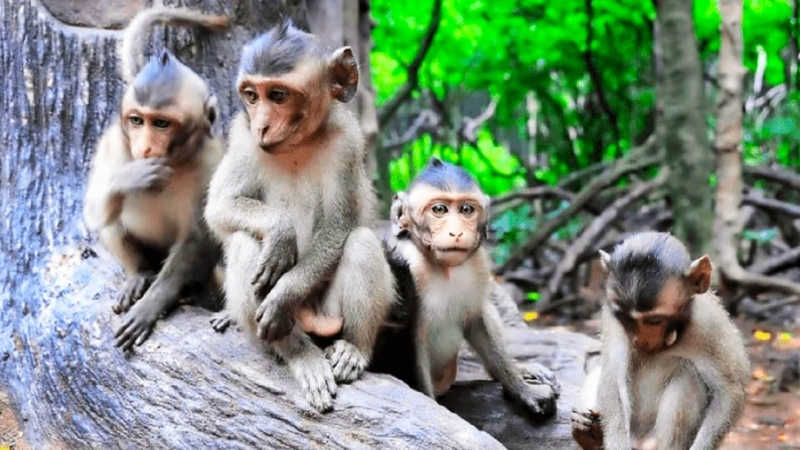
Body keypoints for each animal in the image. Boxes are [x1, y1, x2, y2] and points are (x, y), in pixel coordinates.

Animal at [82, 7, 230, 351]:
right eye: (137, 120)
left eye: (161, 123)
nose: (146, 147)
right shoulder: (113, 144)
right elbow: (93, 211)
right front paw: (133, 176)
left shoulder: (212, 164)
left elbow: (199, 237)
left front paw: (154, 303)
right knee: (111, 219)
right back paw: (139, 275)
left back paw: (188, 294)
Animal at [203, 21, 395, 413]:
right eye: (251, 96)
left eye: (278, 95)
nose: (262, 126)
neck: (297, 144)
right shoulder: (242, 136)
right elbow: (220, 206)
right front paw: (280, 232)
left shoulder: (347, 142)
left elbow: (340, 225)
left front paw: (284, 294)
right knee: (245, 242)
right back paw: (298, 353)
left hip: (327, 311)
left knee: (361, 242)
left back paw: (353, 348)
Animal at [369, 158, 560, 417]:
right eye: (439, 210)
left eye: (467, 210)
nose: (457, 232)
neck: (442, 268)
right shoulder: (408, 260)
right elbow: (414, 340)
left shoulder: (479, 264)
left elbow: (478, 320)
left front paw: (522, 388)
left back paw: (522, 369)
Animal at [570, 232, 750, 450]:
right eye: (626, 319)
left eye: (654, 320)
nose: (640, 340)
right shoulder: (612, 316)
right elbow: (613, 377)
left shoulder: (708, 323)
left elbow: (729, 391)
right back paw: (589, 435)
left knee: (690, 374)